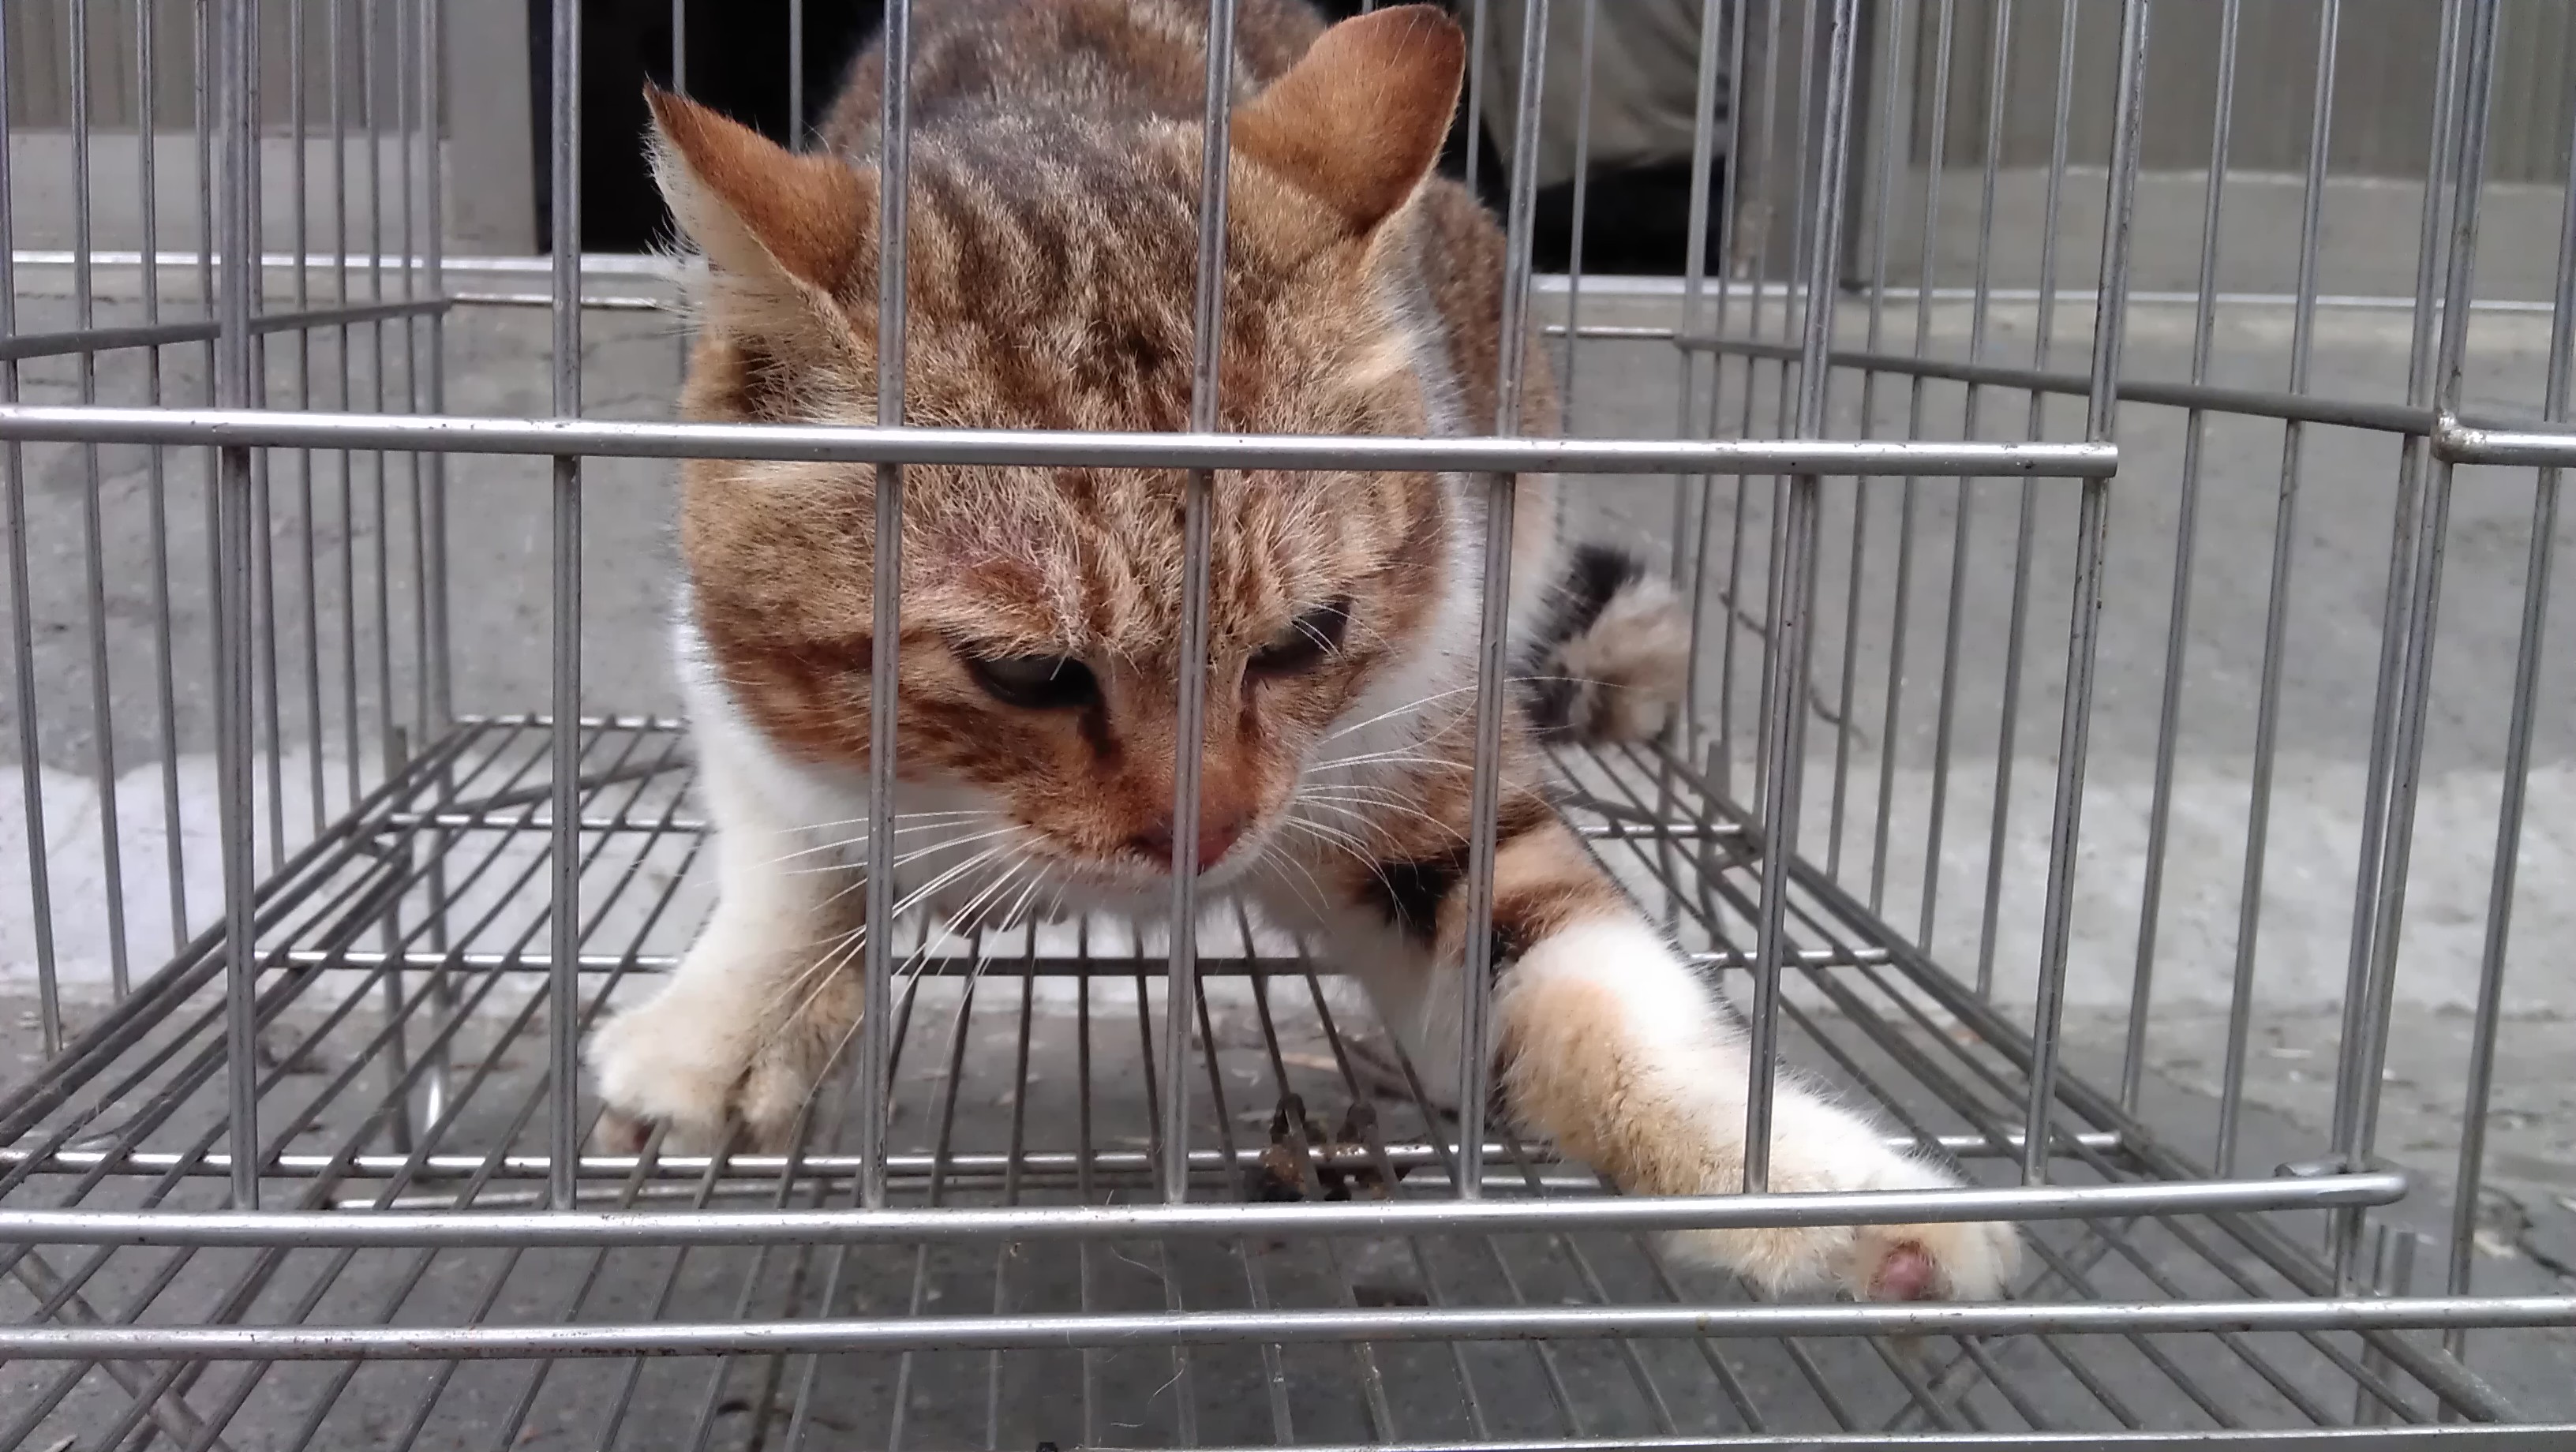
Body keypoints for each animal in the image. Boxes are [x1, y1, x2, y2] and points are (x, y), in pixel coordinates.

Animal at [586, 0, 2017, 1304]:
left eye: (1307, 636)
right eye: (1024, 675)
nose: (1207, 836)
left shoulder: (1420, 730)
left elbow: (1577, 974)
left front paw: (1807, 1182)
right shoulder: (731, 678)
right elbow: (790, 858)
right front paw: (721, 1028)